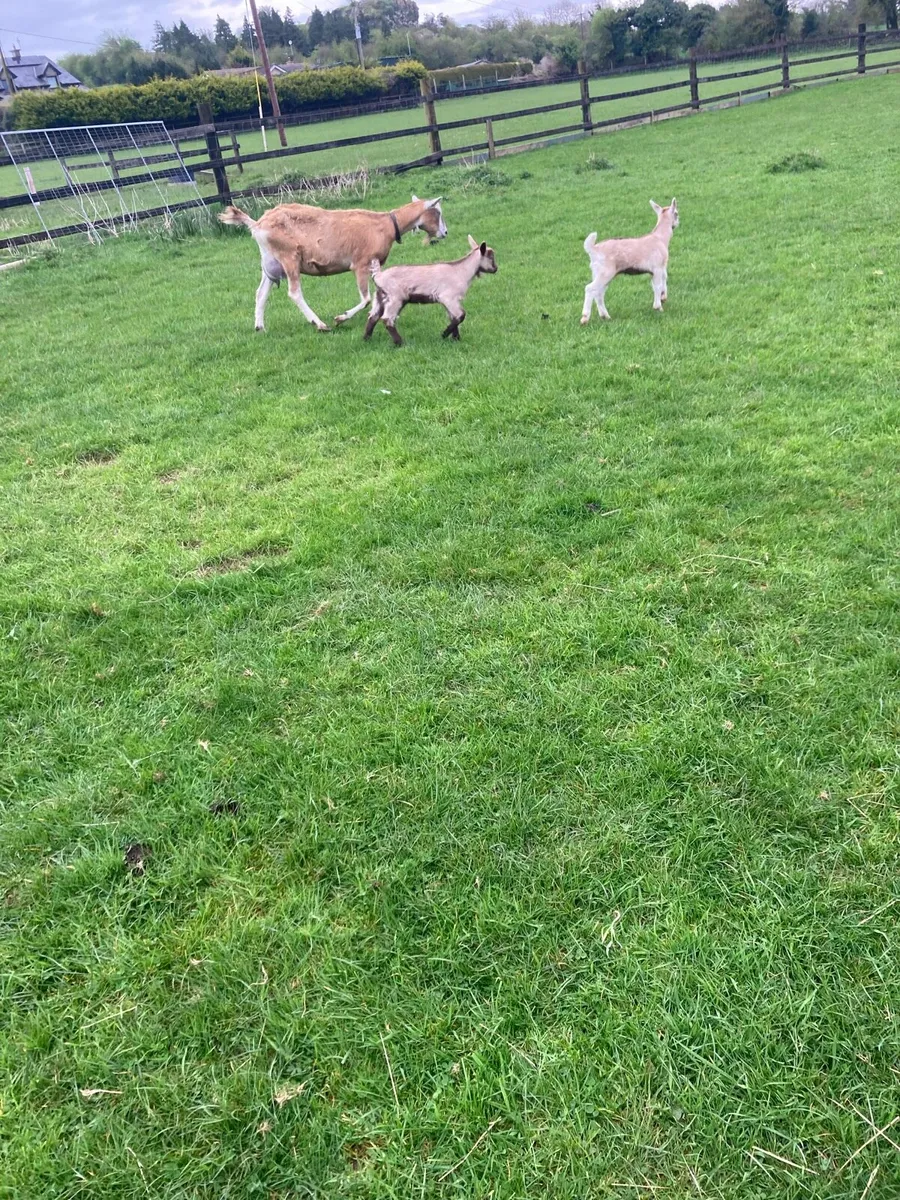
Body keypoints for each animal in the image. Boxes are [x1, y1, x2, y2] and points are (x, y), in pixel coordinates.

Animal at [218, 194, 447, 332]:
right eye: (437, 212)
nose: (445, 232)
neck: (385, 224)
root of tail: (257, 224)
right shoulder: (360, 264)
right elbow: (365, 298)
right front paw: (341, 318)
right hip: (289, 257)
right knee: (294, 293)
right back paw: (320, 324)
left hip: (272, 262)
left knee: (261, 293)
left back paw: (260, 327)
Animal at [363, 235, 497, 347]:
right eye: (491, 257)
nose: (496, 269)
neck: (462, 271)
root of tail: (378, 275)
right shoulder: (448, 297)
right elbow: (460, 315)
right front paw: (444, 334)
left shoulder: (450, 301)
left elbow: (453, 317)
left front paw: (456, 339)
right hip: (395, 298)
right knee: (387, 319)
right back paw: (400, 343)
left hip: (380, 297)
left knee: (373, 316)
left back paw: (366, 339)